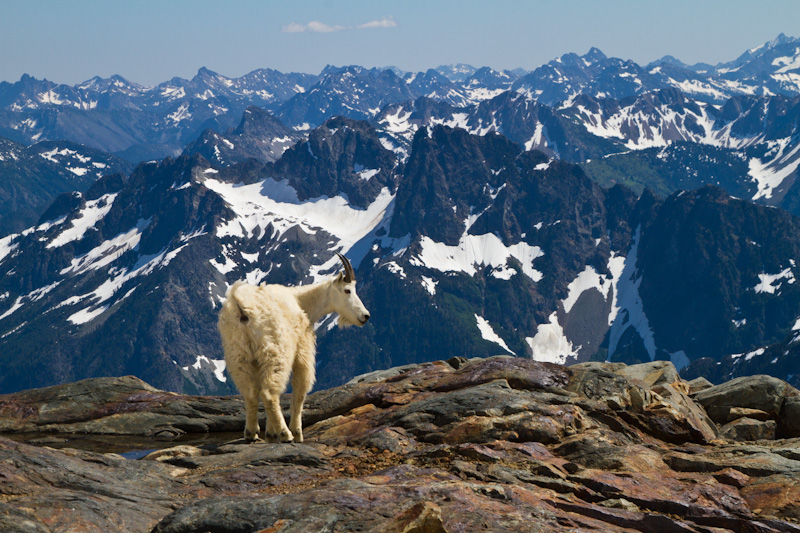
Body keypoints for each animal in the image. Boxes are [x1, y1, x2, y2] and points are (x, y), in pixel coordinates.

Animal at [217, 251, 370, 442]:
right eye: (347, 290)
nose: (365, 316)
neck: (301, 301)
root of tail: (242, 307)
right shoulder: (303, 347)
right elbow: (300, 389)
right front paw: (297, 433)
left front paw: (270, 432)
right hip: (275, 351)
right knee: (269, 393)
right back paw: (286, 434)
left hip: (238, 354)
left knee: (250, 392)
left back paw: (251, 433)